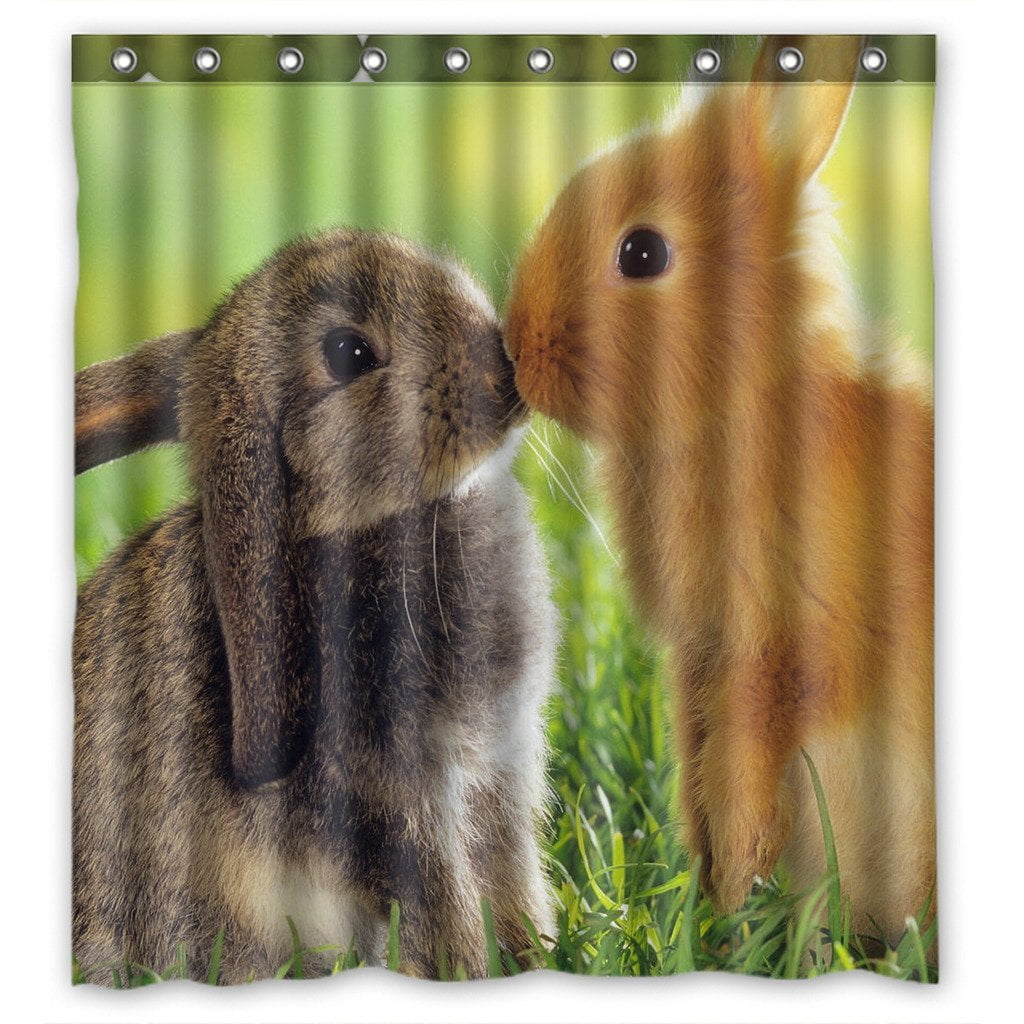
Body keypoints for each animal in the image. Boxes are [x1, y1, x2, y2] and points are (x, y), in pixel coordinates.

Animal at [73, 228, 557, 984]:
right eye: (348, 354)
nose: (503, 373)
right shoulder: (396, 798)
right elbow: (446, 900)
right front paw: (472, 975)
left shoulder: (501, 774)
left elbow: (514, 882)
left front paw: (541, 957)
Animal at [504, 35, 935, 950]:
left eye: (643, 254)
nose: (515, 349)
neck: (747, 404)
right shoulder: (700, 665)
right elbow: (698, 780)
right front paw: (712, 907)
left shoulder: (773, 664)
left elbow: (739, 784)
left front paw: (734, 903)